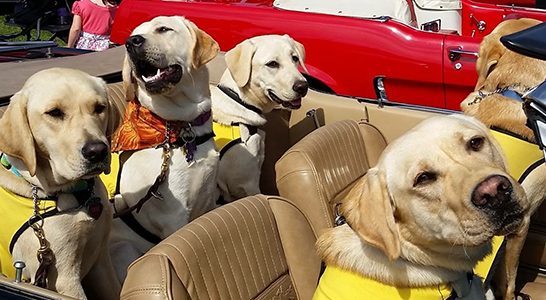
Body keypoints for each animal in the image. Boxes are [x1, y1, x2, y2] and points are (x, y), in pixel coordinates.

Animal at [103, 15, 218, 282]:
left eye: (163, 29)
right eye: (131, 36)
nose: (131, 43)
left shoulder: (207, 199)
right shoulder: (174, 216)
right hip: (124, 249)